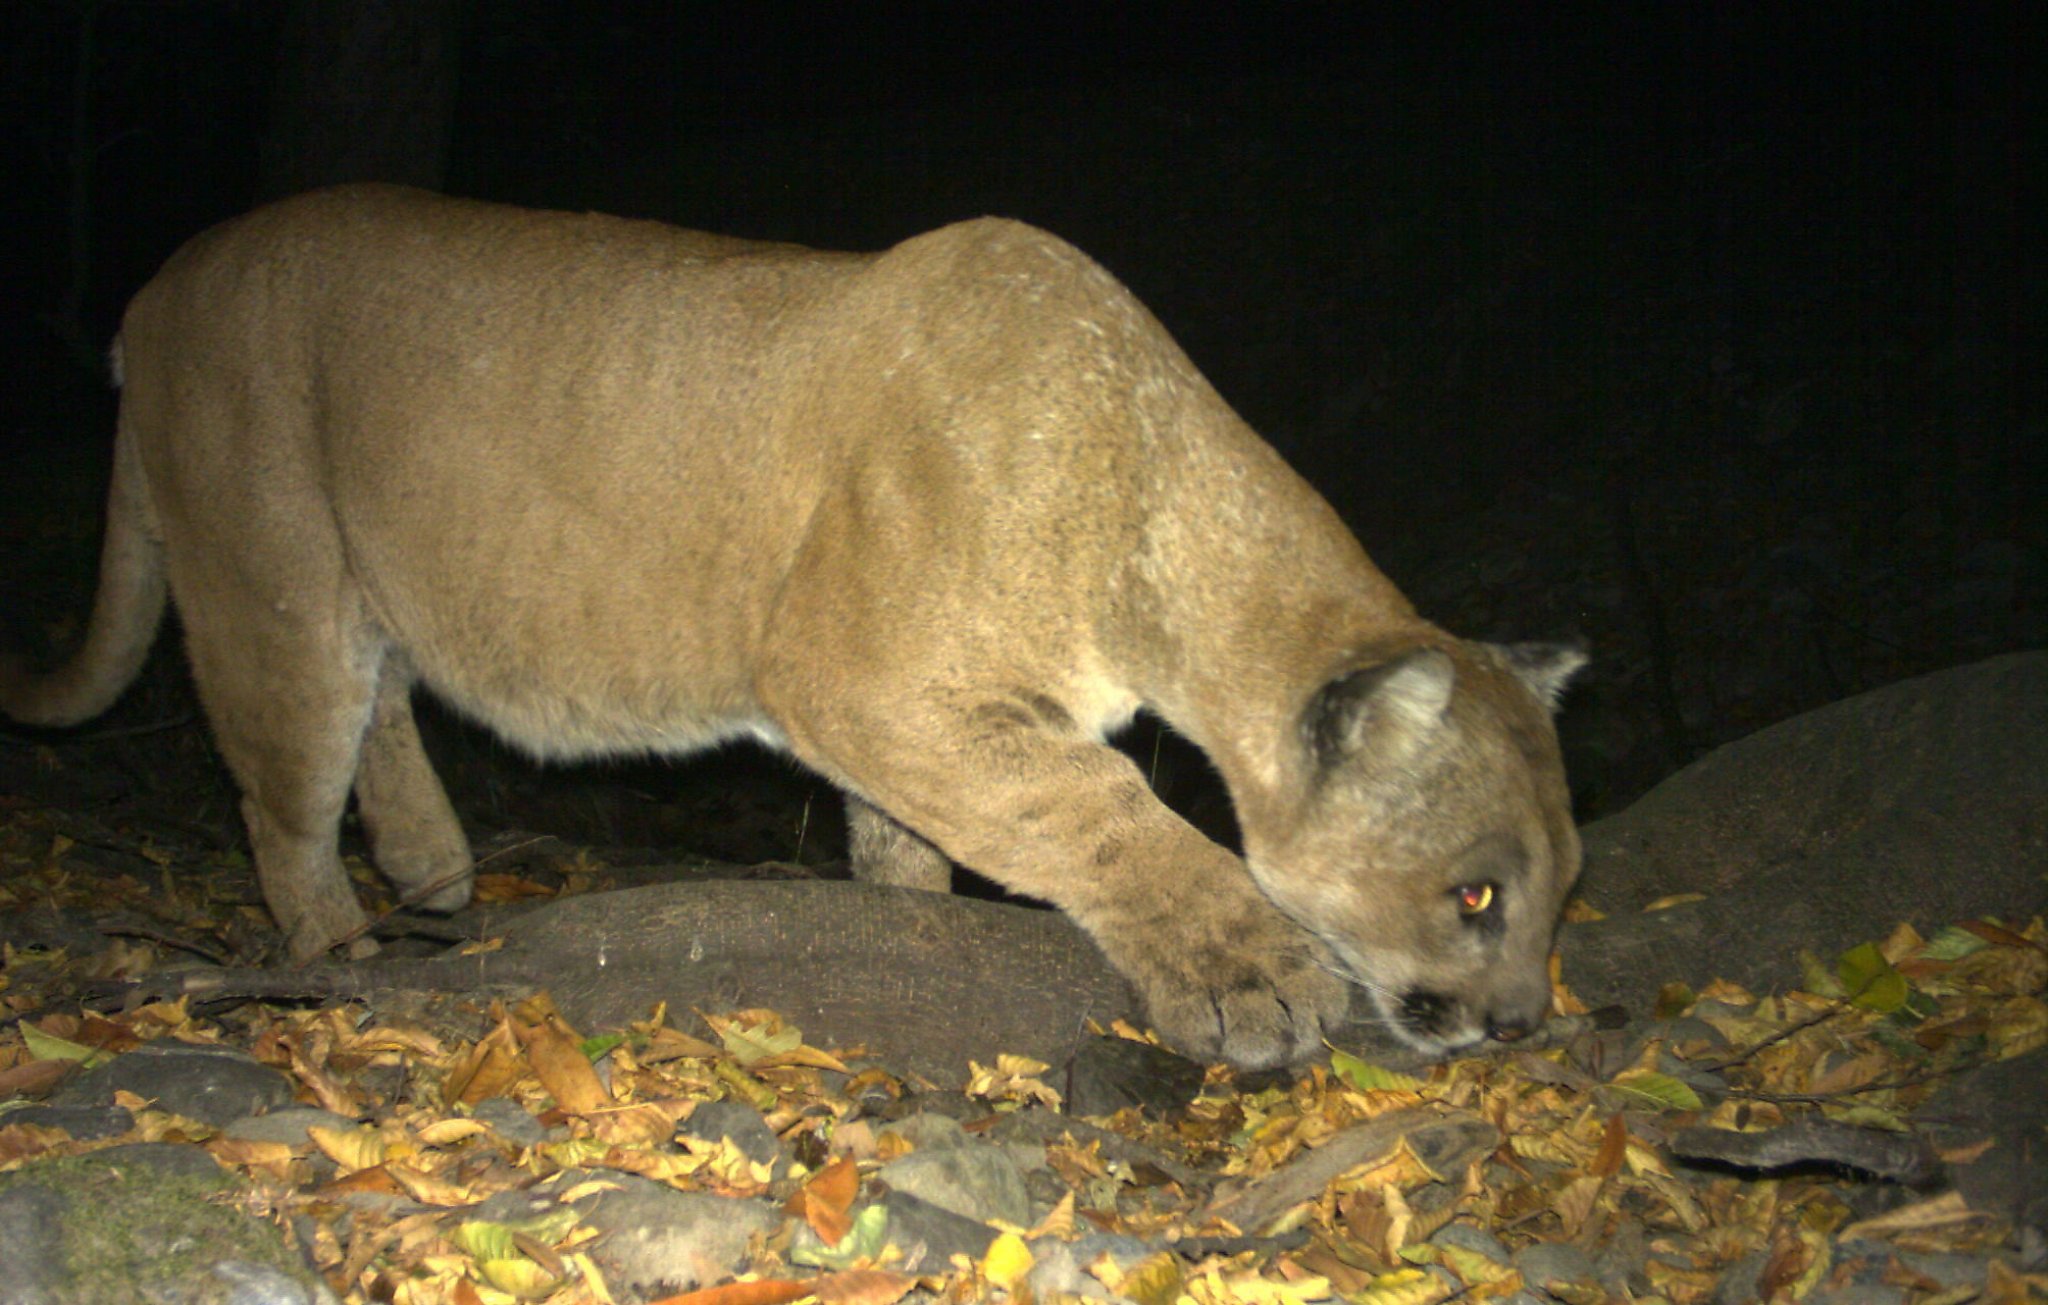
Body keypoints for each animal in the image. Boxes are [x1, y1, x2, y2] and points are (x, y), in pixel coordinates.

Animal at [0, 188, 1581, 1065]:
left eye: (1561, 890)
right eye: (1476, 895)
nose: (1523, 1025)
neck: (1158, 512)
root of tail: (159, 285)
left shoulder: (912, 709)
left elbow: (934, 834)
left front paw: (902, 927)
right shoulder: (855, 675)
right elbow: (1092, 802)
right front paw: (1252, 979)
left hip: (354, 577)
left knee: (381, 711)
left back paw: (439, 875)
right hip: (270, 580)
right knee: (283, 799)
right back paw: (345, 962)